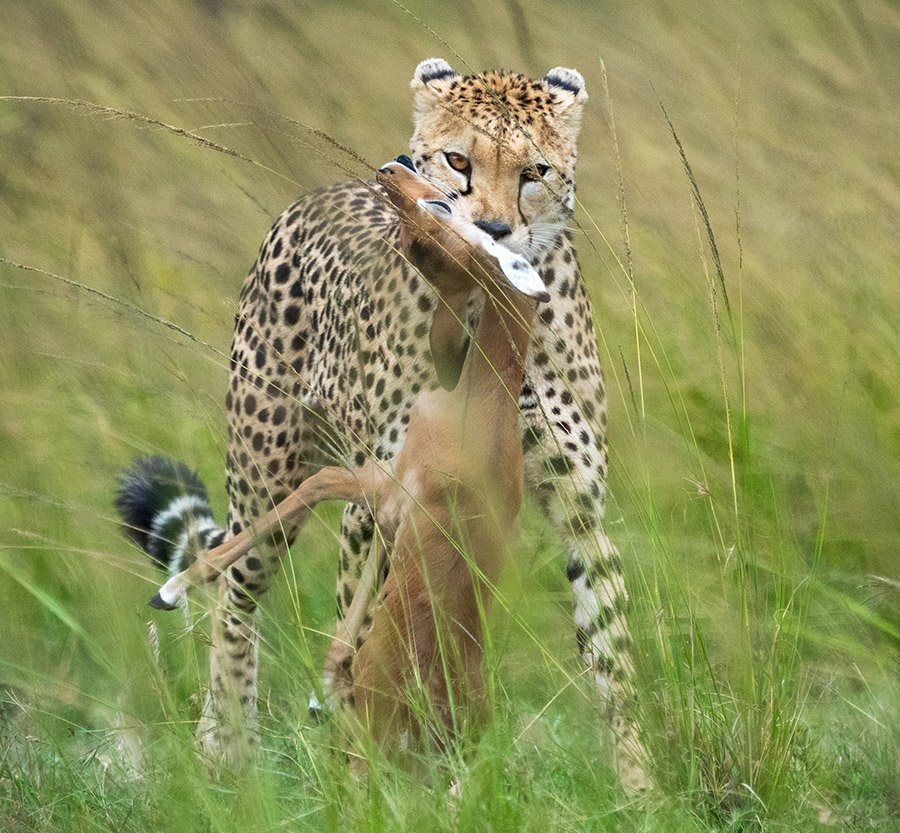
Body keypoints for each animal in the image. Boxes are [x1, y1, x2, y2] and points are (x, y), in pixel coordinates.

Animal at [117, 59, 651, 792]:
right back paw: (229, 751)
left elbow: (611, 651)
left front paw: (639, 789)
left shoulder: (578, 505)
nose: (495, 229)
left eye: (534, 171)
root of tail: (316, 195)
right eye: (458, 160)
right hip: (264, 481)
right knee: (237, 596)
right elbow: (364, 622)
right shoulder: (382, 496)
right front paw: (361, 776)